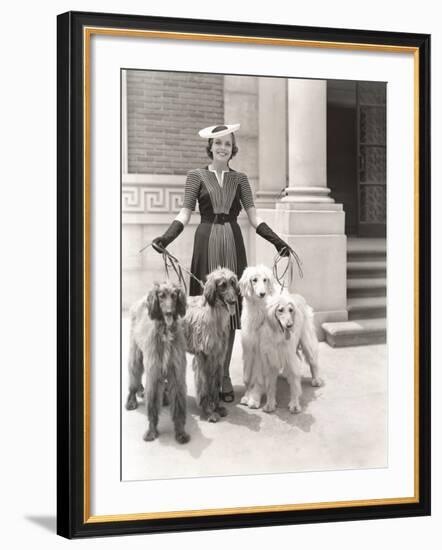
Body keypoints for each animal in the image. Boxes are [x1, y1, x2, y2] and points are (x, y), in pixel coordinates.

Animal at [124, 282, 190, 446]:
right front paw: (152, 431)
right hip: (136, 354)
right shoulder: (154, 373)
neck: (166, 332)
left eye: (174, 295)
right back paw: (132, 399)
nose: (169, 312)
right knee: (134, 377)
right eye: (161, 296)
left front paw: (180, 432)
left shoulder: (176, 373)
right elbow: (152, 404)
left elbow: (178, 404)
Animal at [182, 270, 240, 424]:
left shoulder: (218, 356)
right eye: (222, 285)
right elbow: (204, 385)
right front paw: (208, 411)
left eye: (232, 283)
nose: (233, 301)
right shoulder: (203, 356)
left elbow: (215, 383)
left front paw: (217, 407)